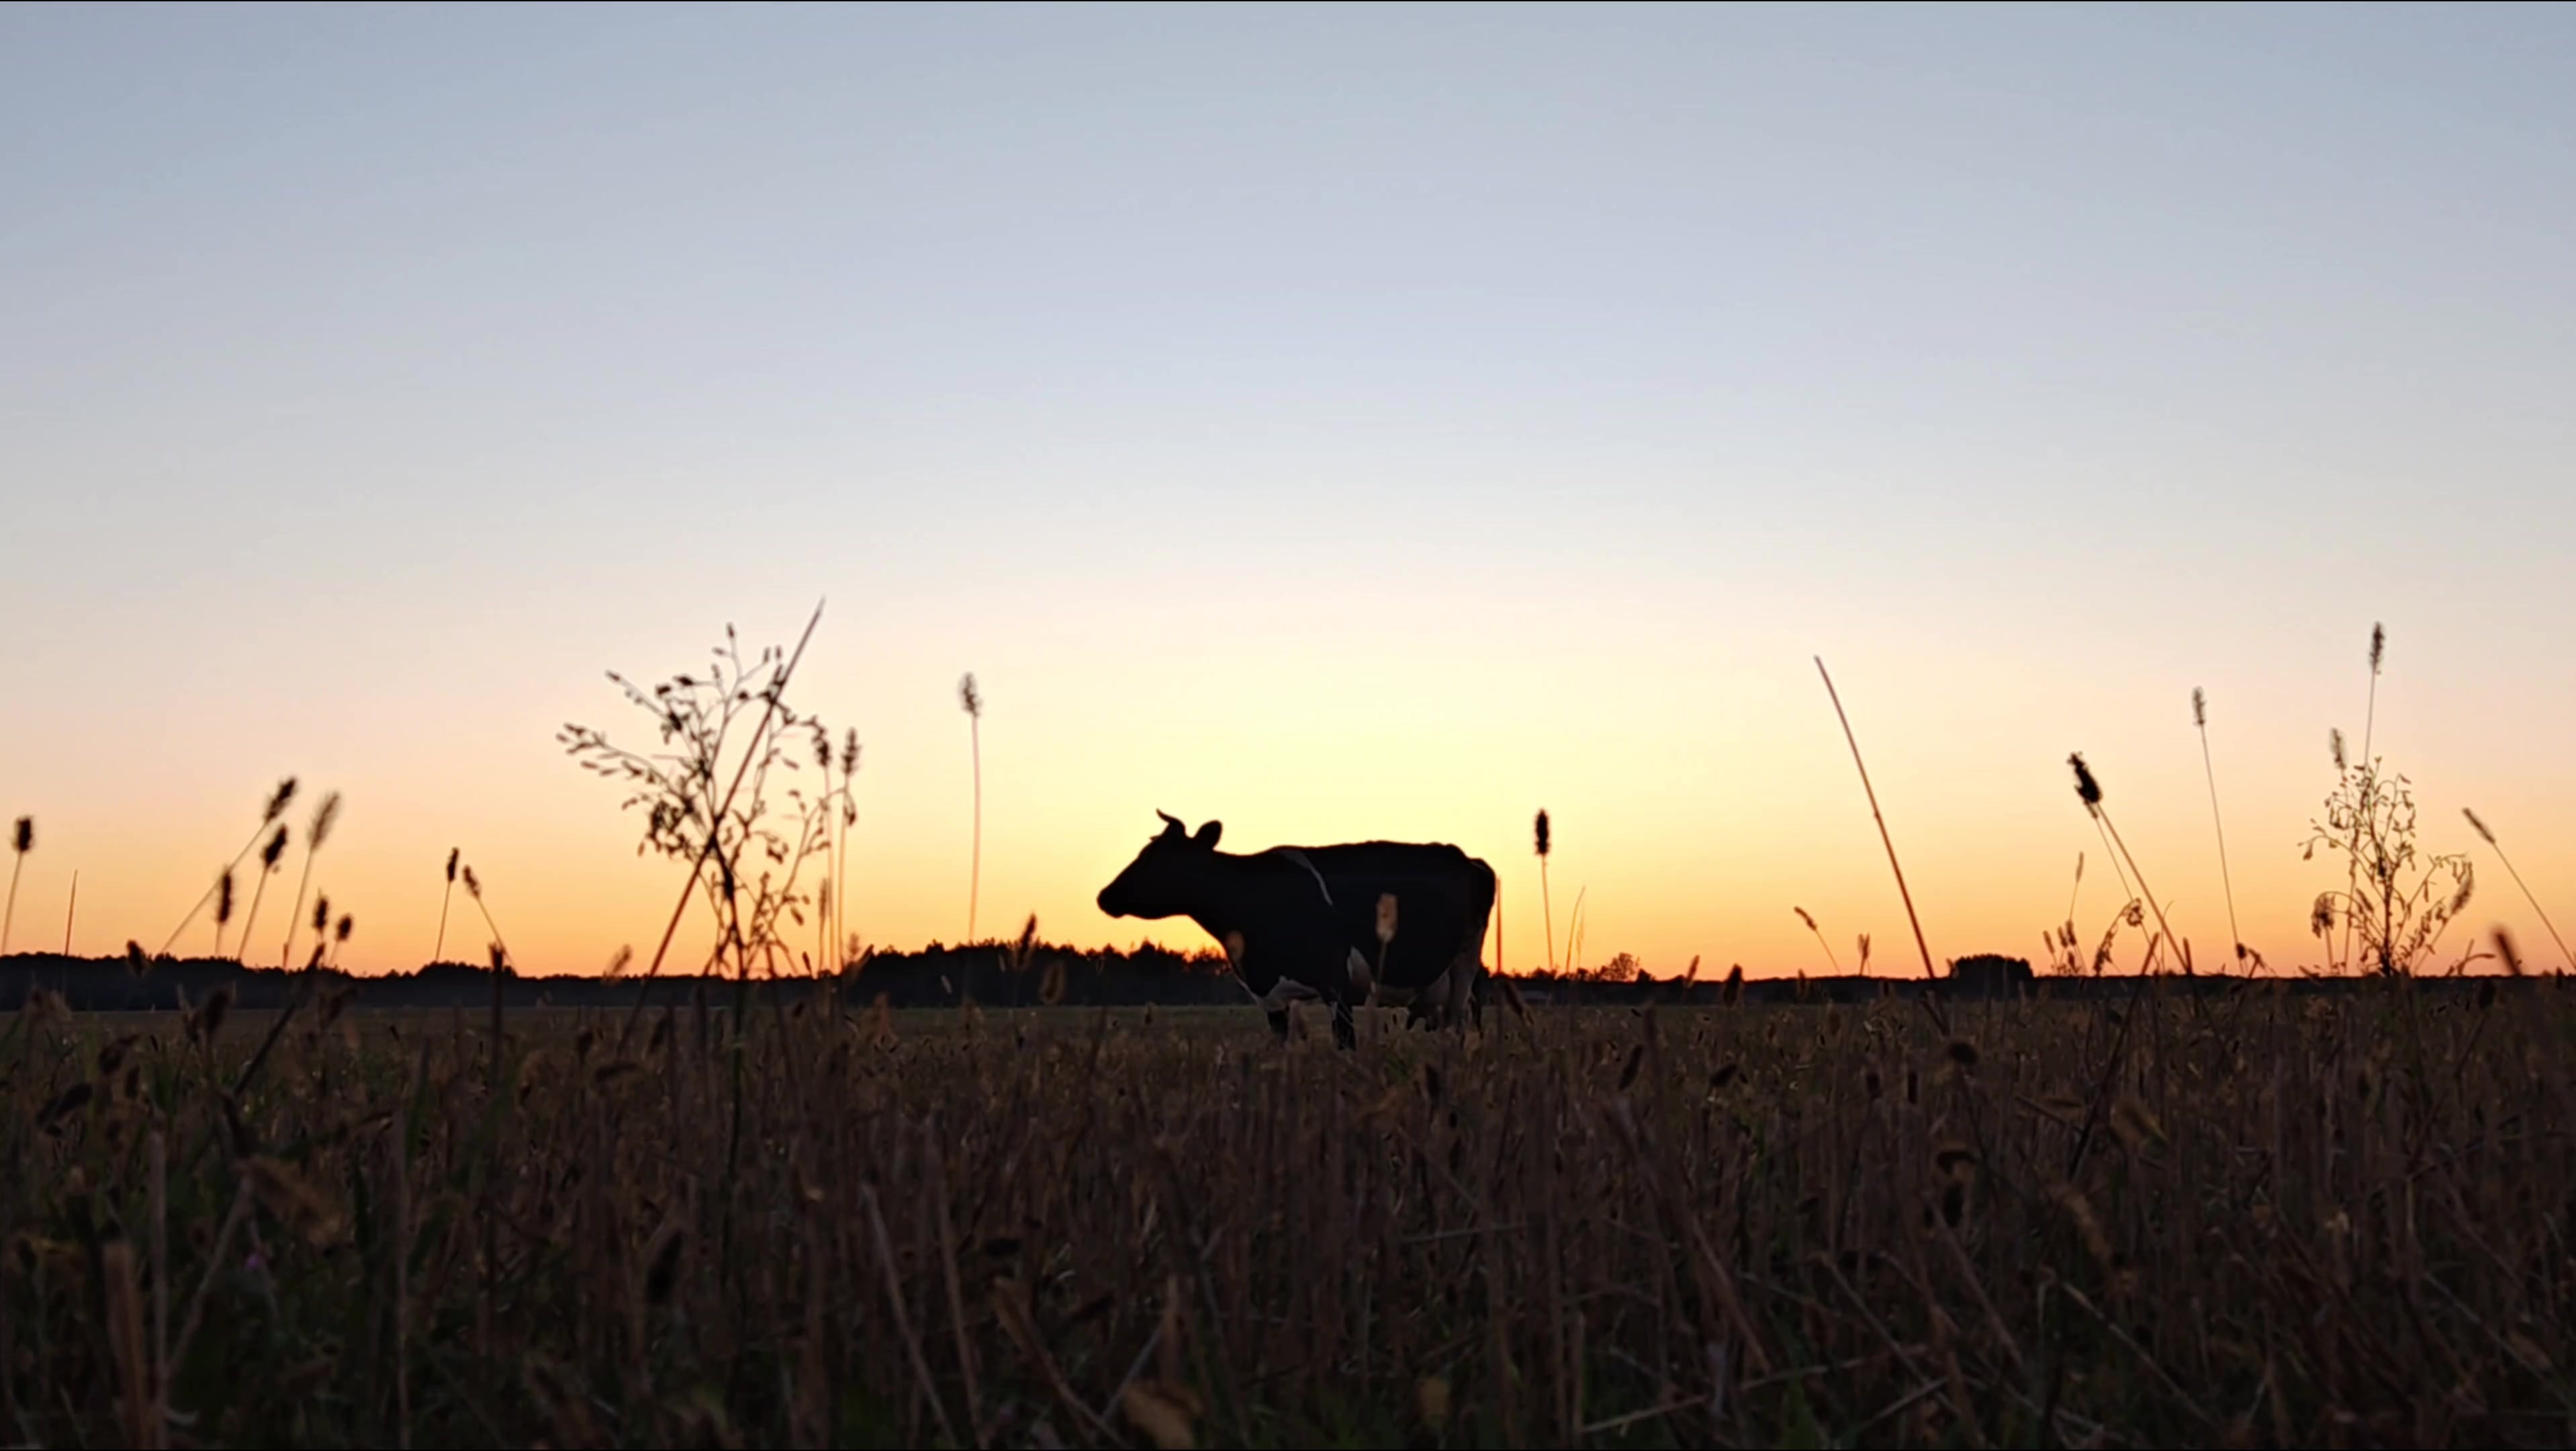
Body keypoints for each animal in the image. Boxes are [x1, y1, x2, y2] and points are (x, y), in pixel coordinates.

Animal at [1095, 812, 1497, 1048]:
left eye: (1159, 859)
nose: (1105, 896)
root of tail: (1469, 858)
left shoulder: (1336, 983)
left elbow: (1345, 1045)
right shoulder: (1268, 996)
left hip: (1464, 969)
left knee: (1459, 1028)